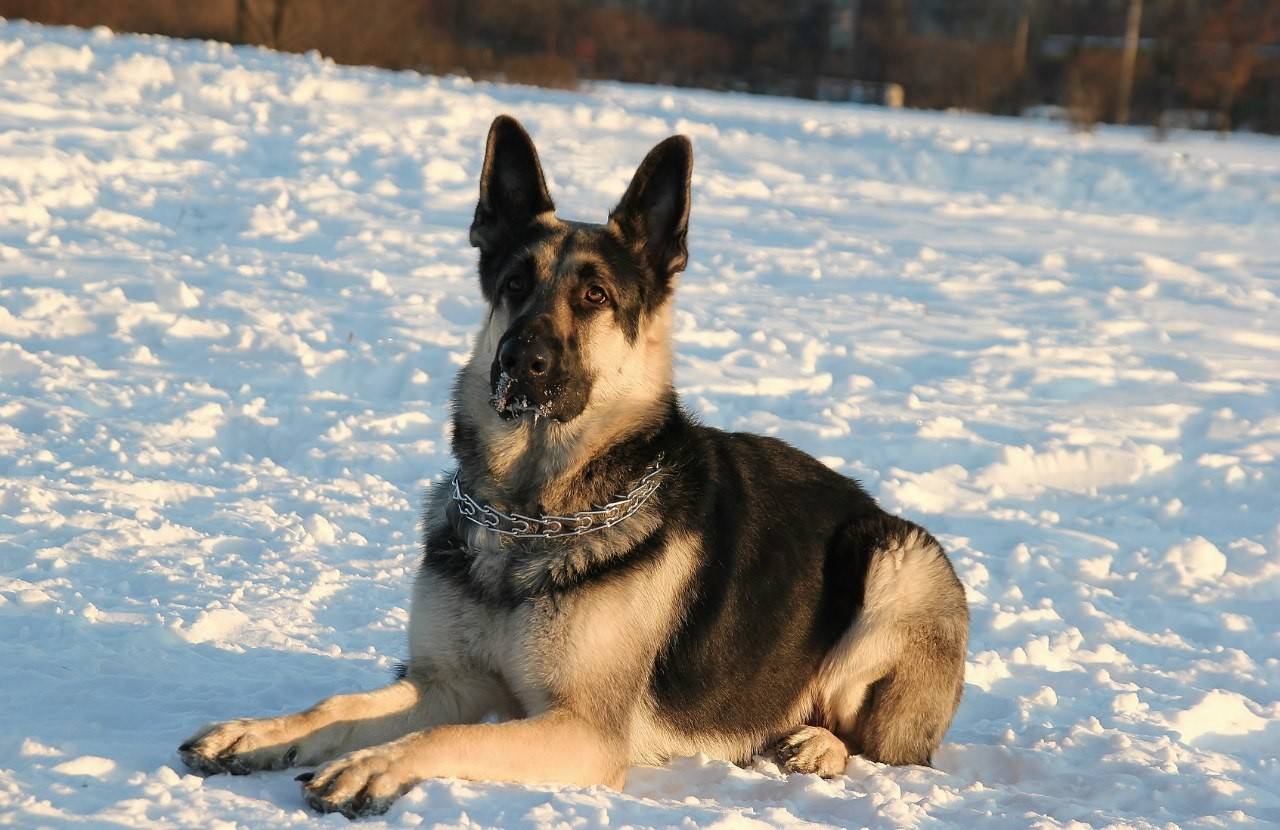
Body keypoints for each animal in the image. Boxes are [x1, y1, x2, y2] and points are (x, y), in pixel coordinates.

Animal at [175, 115, 962, 814]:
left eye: (594, 296)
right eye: (514, 284)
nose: (519, 361)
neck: (530, 512)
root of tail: (867, 503)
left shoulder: (583, 731)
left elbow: (452, 738)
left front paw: (372, 765)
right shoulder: (449, 681)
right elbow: (342, 703)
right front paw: (261, 731)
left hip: (899, 559)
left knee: (887, 744)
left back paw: (818, 744)